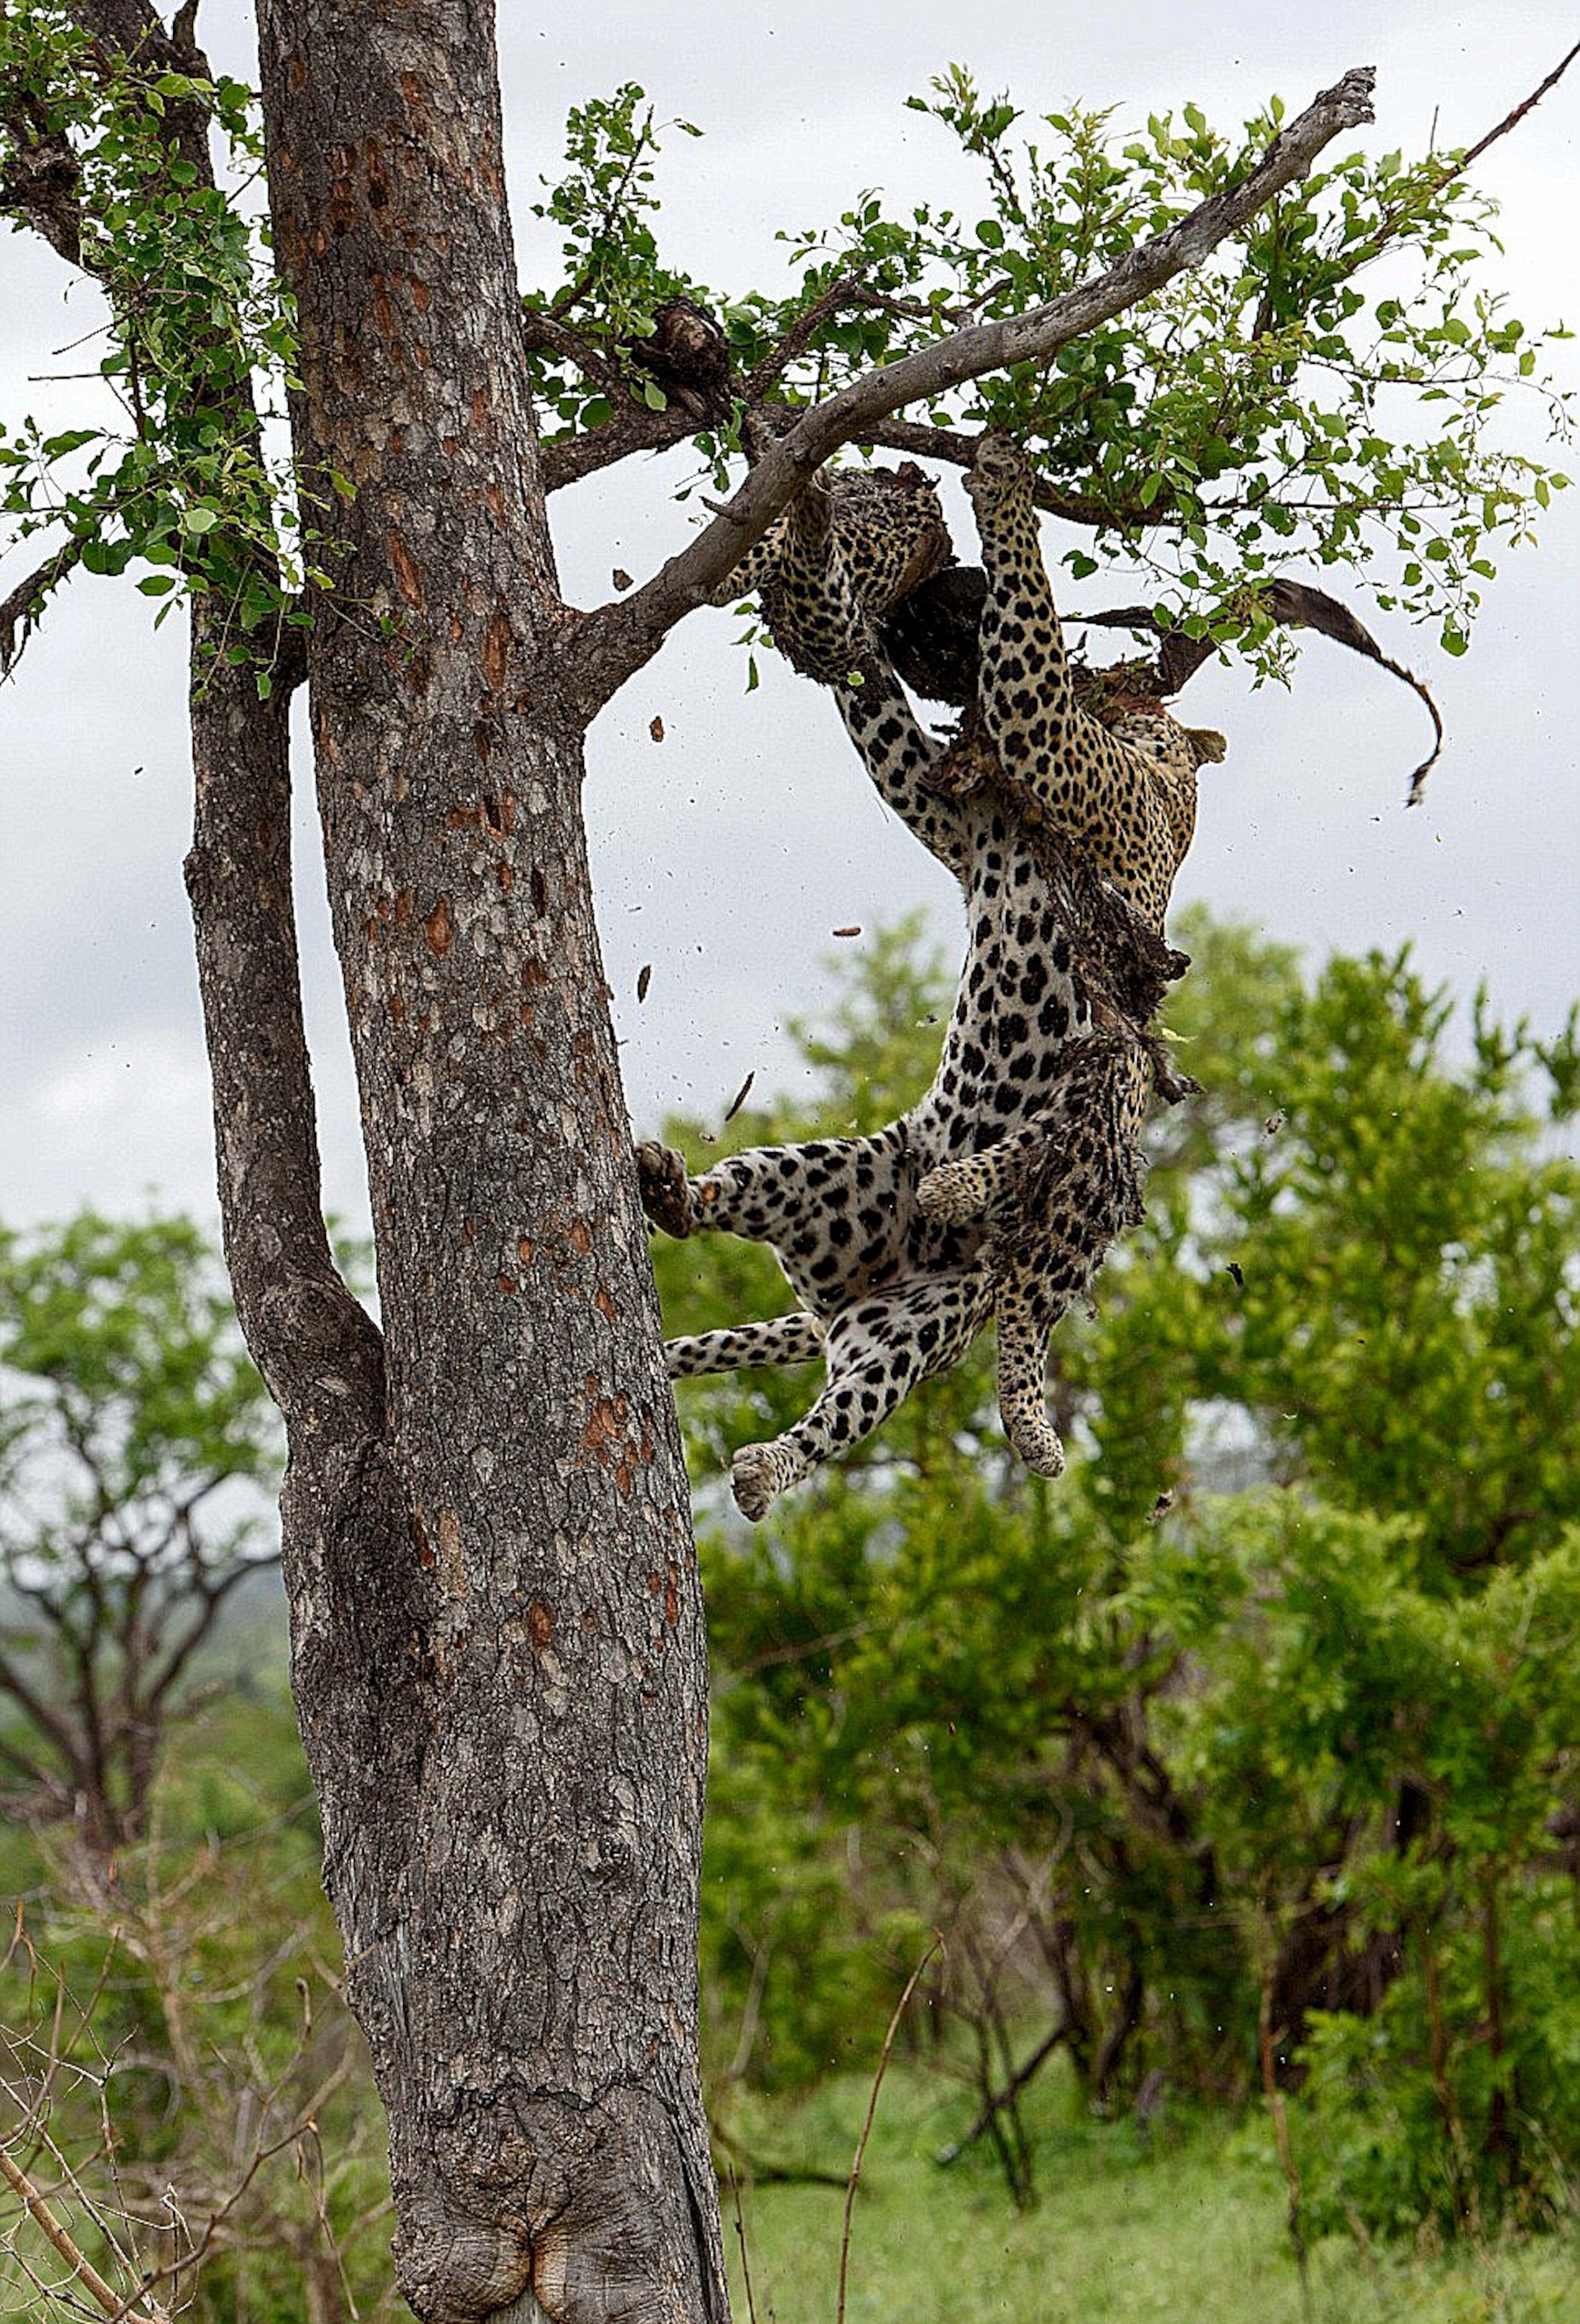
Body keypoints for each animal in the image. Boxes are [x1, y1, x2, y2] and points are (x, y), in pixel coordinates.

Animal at [643, 433, 1223, 1520]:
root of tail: (857, 1286)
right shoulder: (953, 810)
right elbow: (874, 691)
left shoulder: (1051, 746)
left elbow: (1027, 626)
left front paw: (1001, 485)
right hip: (824, 1179)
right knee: (722, 1206)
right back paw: (669, 1190)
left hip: (918, 1327)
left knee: (851, 1411)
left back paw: (767, 1471)